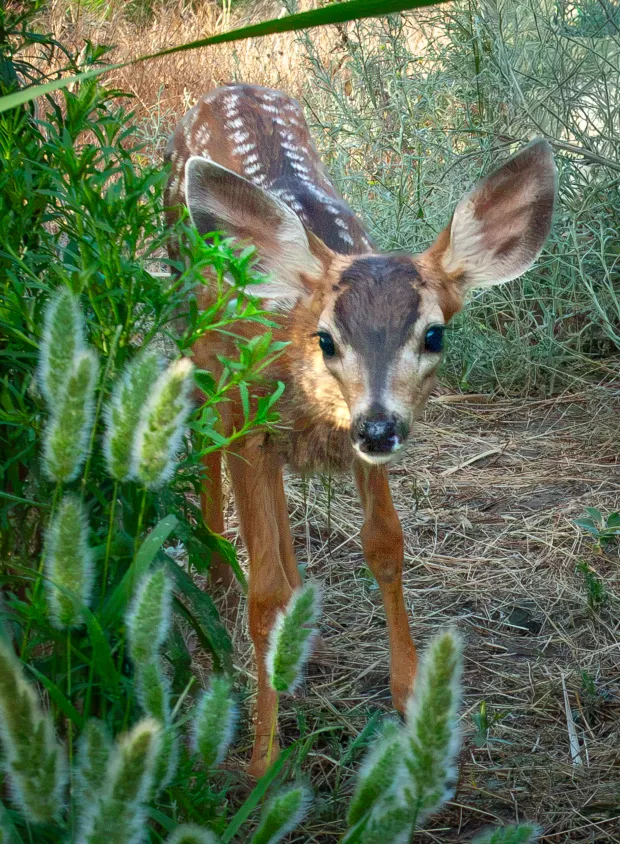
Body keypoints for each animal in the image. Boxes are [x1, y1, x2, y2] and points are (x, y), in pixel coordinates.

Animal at [164, 83, 557, 778]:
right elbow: (263, 591)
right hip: (196, 335)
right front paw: (262, 761)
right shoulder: (249, 419)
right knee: (202, 426)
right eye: (327, 338)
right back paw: (216, 575)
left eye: (434, 334)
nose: (377, 427)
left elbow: (385, 544)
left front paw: (409, 694)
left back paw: (303, 633)